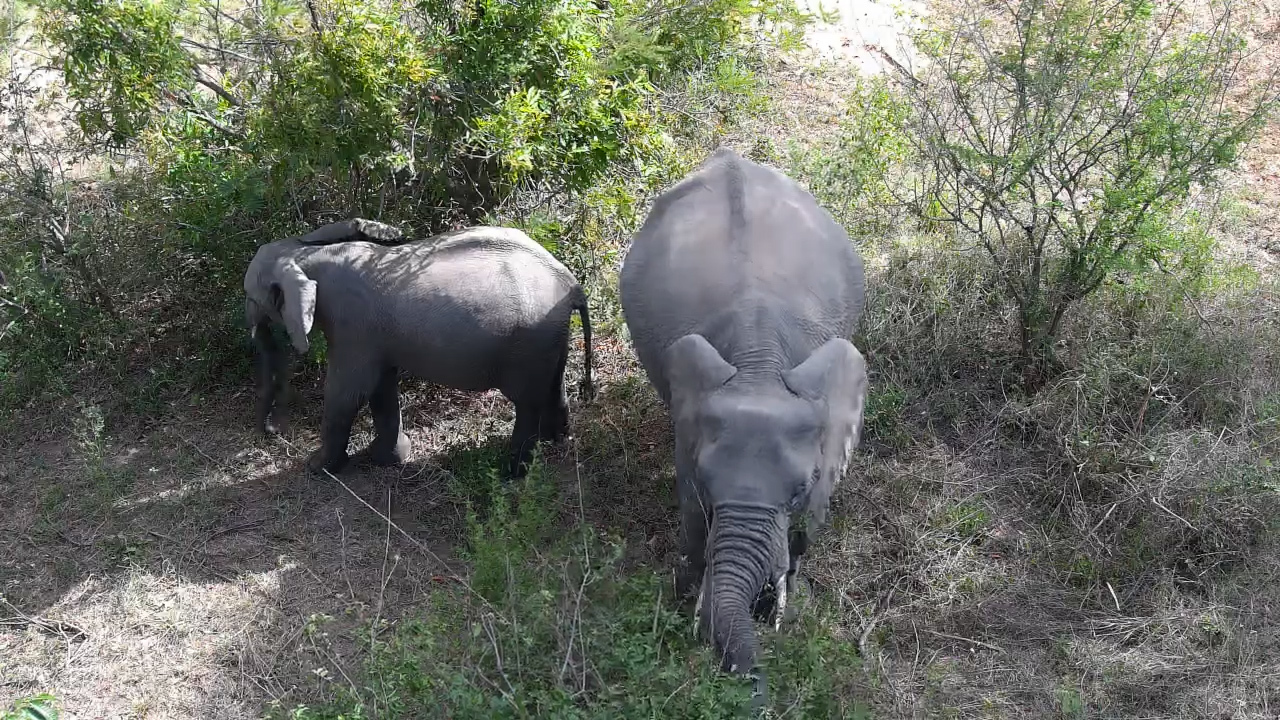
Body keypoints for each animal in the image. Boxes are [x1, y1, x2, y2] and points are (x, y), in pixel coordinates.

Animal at [243, 218, 594, 477]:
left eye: (252, 298)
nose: (272, 432)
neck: (304, 253)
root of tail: (570, 281)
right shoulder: (372, 335)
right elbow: (380, 386)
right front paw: (388, 458)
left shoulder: (352, 327)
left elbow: (349, 391)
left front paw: (317, 468)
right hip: (550, 336)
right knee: (554, 384)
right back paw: (556, 441)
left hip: (529, 341)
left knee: (527, 403)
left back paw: (511, 473)